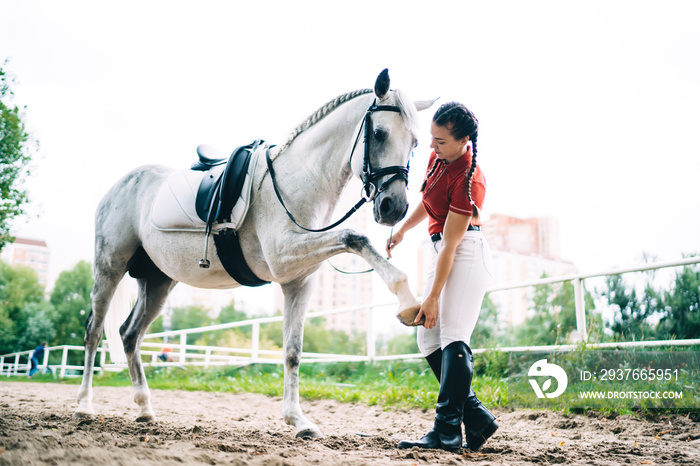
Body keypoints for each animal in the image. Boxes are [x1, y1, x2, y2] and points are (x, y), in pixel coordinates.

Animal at [74, 69, 430, 436]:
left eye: (415, 143)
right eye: (378, 133)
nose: (394, 207)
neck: (298, 179)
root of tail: (121, 185)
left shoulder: (298, 281)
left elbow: (293, 351)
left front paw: (298, 420)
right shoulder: (284, 254)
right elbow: (354, 237)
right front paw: (407, 299)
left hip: (157, 283)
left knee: (129, 335)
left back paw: (145, 409)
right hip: (109, 269)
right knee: (94, 332)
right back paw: (84, 406)